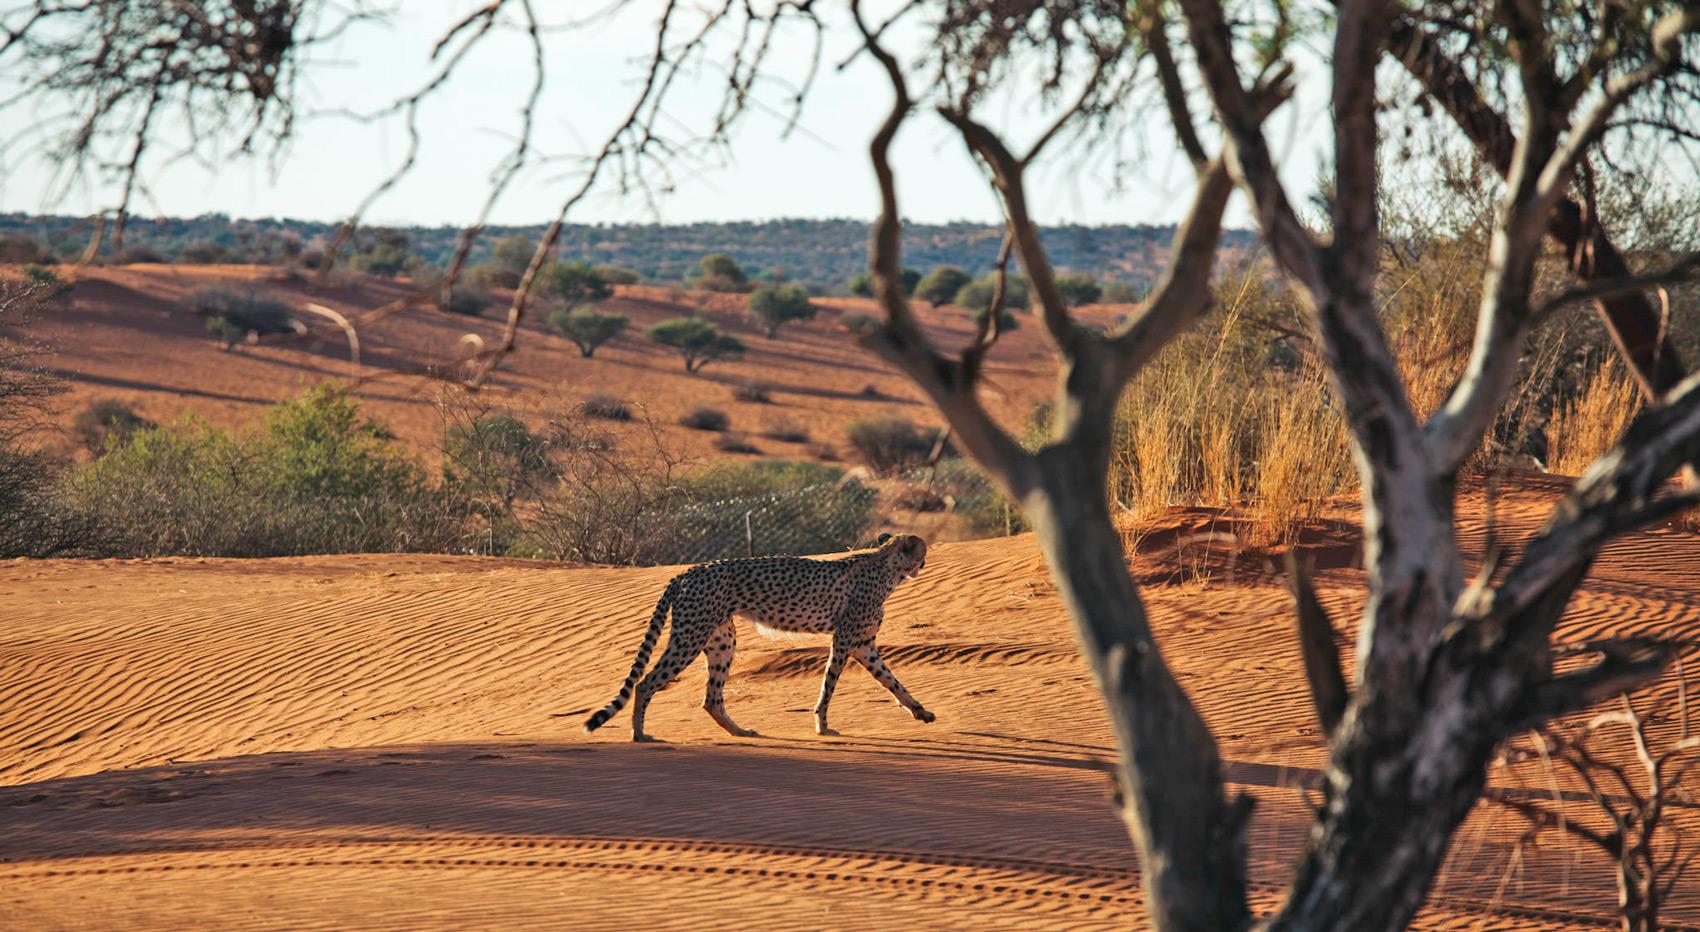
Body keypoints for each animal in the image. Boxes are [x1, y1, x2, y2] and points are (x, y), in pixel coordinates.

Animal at [582, 533, 934, 742]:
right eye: (921, 551)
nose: (925, 562)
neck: (887, 566)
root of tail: (685, 573)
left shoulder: (863, 645)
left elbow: (892, 681)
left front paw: (921, 711)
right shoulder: (845, 639)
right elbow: (830, 684)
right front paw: (822, 726)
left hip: (721, 640)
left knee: (712, 698)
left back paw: (740, 731)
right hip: (690, 637)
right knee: (645, 683)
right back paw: (639, 734)